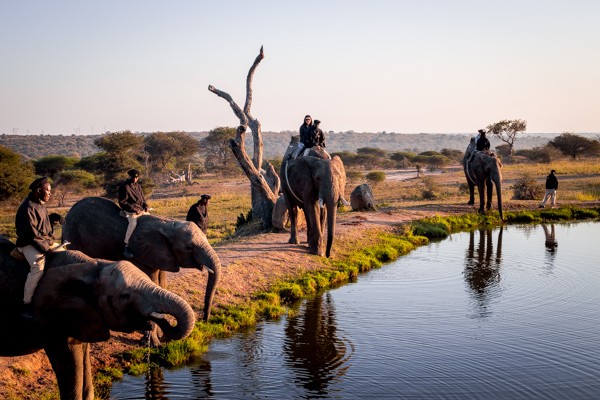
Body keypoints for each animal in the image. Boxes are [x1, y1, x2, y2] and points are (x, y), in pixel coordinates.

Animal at [0, 234, 195, 400]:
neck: (90, 267)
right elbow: (69, 363)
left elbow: (83, 358)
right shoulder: (53, 319)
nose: (161, 321)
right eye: (124, 296)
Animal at [62, 197, 221, 324]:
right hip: (74, 235)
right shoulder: (141, 253)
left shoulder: (161, 254)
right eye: (189, 247)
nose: (204, 319)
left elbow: (161, 281)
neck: (168, 225)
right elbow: (152, 279)